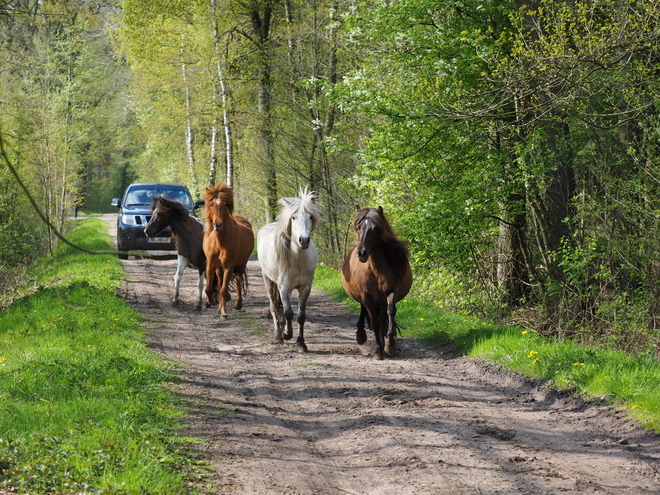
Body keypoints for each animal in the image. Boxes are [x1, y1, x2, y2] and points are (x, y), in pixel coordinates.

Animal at [202, 182, 254, 318]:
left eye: (225, 204)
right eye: (211, 204)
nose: (217, 224)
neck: (220, 242)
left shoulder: (229, 267)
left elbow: (224, 290)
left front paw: (224, 313)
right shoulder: (210, 265)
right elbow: (209, 289)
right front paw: (213, 302)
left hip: (240, 265)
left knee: (238, 282)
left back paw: (238, 304)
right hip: (219, 269)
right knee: (220, 284)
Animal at [340, 205, 412, 360]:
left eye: (375, 228)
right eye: (359, 227)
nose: (361, 253)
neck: (375, 270)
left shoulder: (390, 292)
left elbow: (390, 313)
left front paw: (390, 345)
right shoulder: (366, 296)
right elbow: (373, 322)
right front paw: (378, 351)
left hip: (381, 300)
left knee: (383, 316)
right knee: (365, 311)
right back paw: (361, 335)